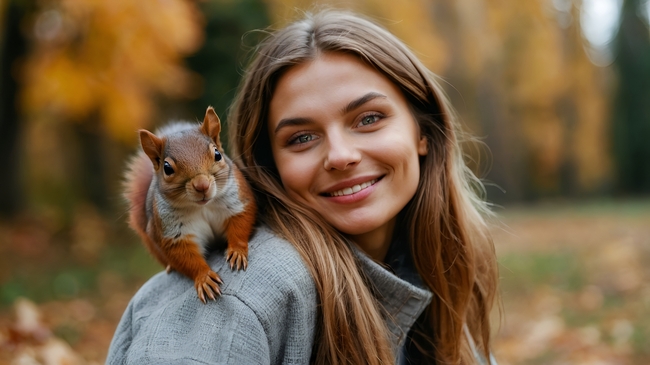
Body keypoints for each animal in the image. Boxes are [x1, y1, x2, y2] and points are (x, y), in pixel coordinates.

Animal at [121, 106, 256, 302]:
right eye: (167, 168)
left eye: (217, 154)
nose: (202, 185)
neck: (203, 207)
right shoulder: (174, 233)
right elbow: (185, 256)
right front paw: (204, 277)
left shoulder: (237, 202)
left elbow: (240, 223)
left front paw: (237, 252)